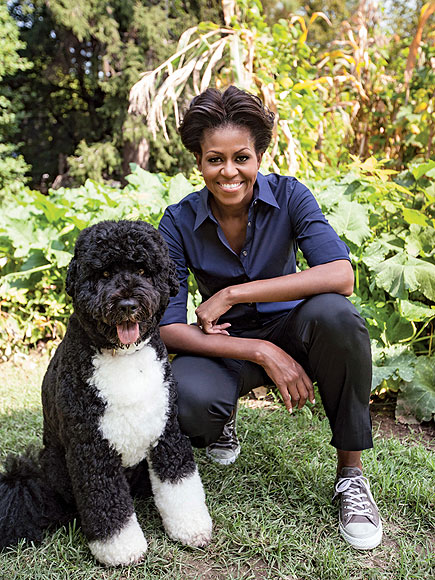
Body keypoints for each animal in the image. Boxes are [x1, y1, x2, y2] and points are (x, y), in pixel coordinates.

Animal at [0, 221, 213, 568]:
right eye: (103, 273)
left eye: (142, 270)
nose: (127, 305)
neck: (124, 356)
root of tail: (32, 478)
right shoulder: (92, 449)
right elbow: (106, 504)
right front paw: (122, 550)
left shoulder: (167, 433)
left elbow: (180, 484)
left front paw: (191, 528)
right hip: (59, 468)